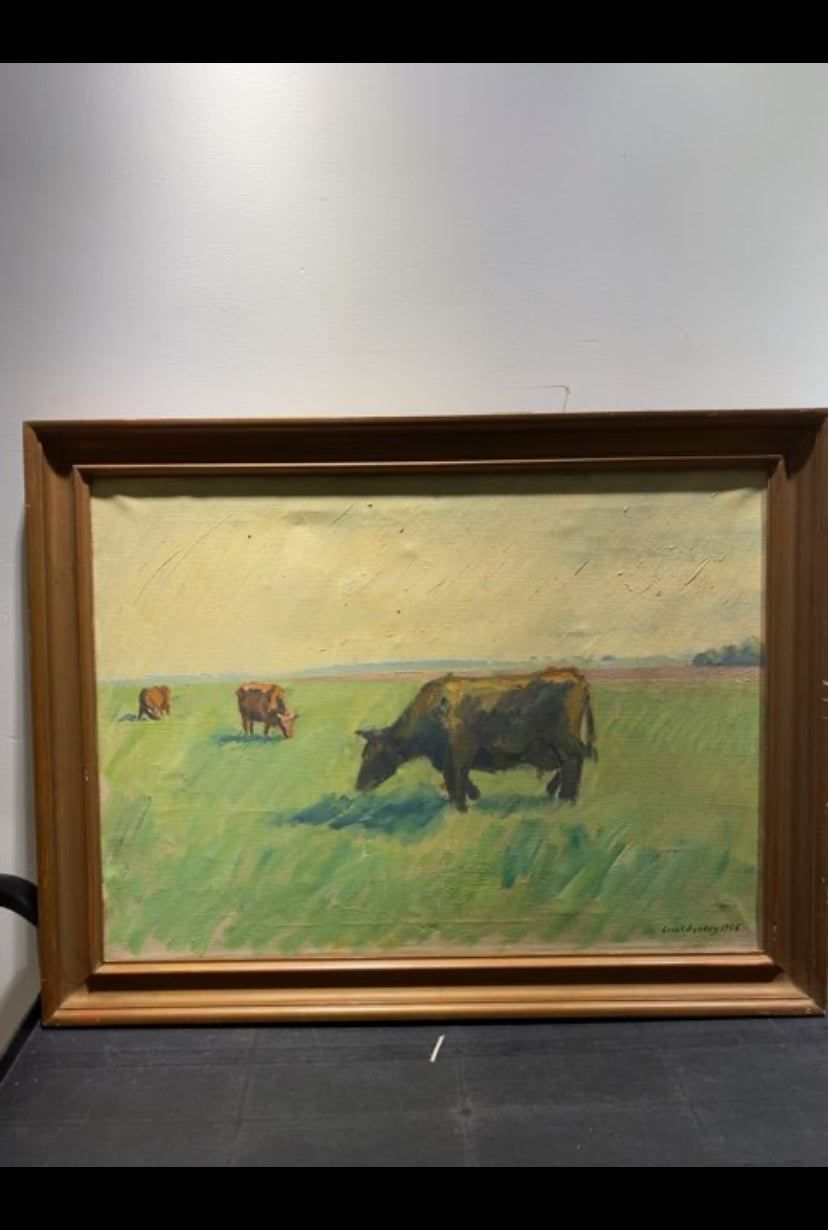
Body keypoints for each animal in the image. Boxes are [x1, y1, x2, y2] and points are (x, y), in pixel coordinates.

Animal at [356, 667, 597, 812]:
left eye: (373, 756)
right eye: (364, 754)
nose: (359, 786)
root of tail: (574, 675)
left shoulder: (458, 754)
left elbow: (456, 780)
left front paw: (460, 808)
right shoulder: (449, 758)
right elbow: (457, 780)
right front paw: (472, 796)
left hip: (564, 742)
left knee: (573, 762)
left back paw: (566, 799)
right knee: (567, 765)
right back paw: (553, 792)